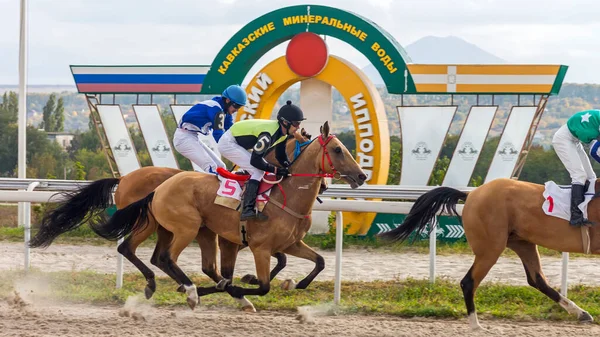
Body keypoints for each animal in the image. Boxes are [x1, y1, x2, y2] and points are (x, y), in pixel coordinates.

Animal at [87, 121, 364, 308]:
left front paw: (294, 283)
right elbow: (264, 285)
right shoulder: (258, 247)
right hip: (183, 227)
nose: (361, 176)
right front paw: (243, 285)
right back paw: (189, 290)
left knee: (167, 259)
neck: (285, 195)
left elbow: (319, 261)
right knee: (162, 257)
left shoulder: (289, 243)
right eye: (337, 150)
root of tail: (158, 188)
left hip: (184, 230)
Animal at [378, 177, 596, 330]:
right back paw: (476, 326)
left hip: (522, 243)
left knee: (537, 280)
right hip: (491, 248)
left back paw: (581, 313)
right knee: (468, 282)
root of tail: (471, 194)